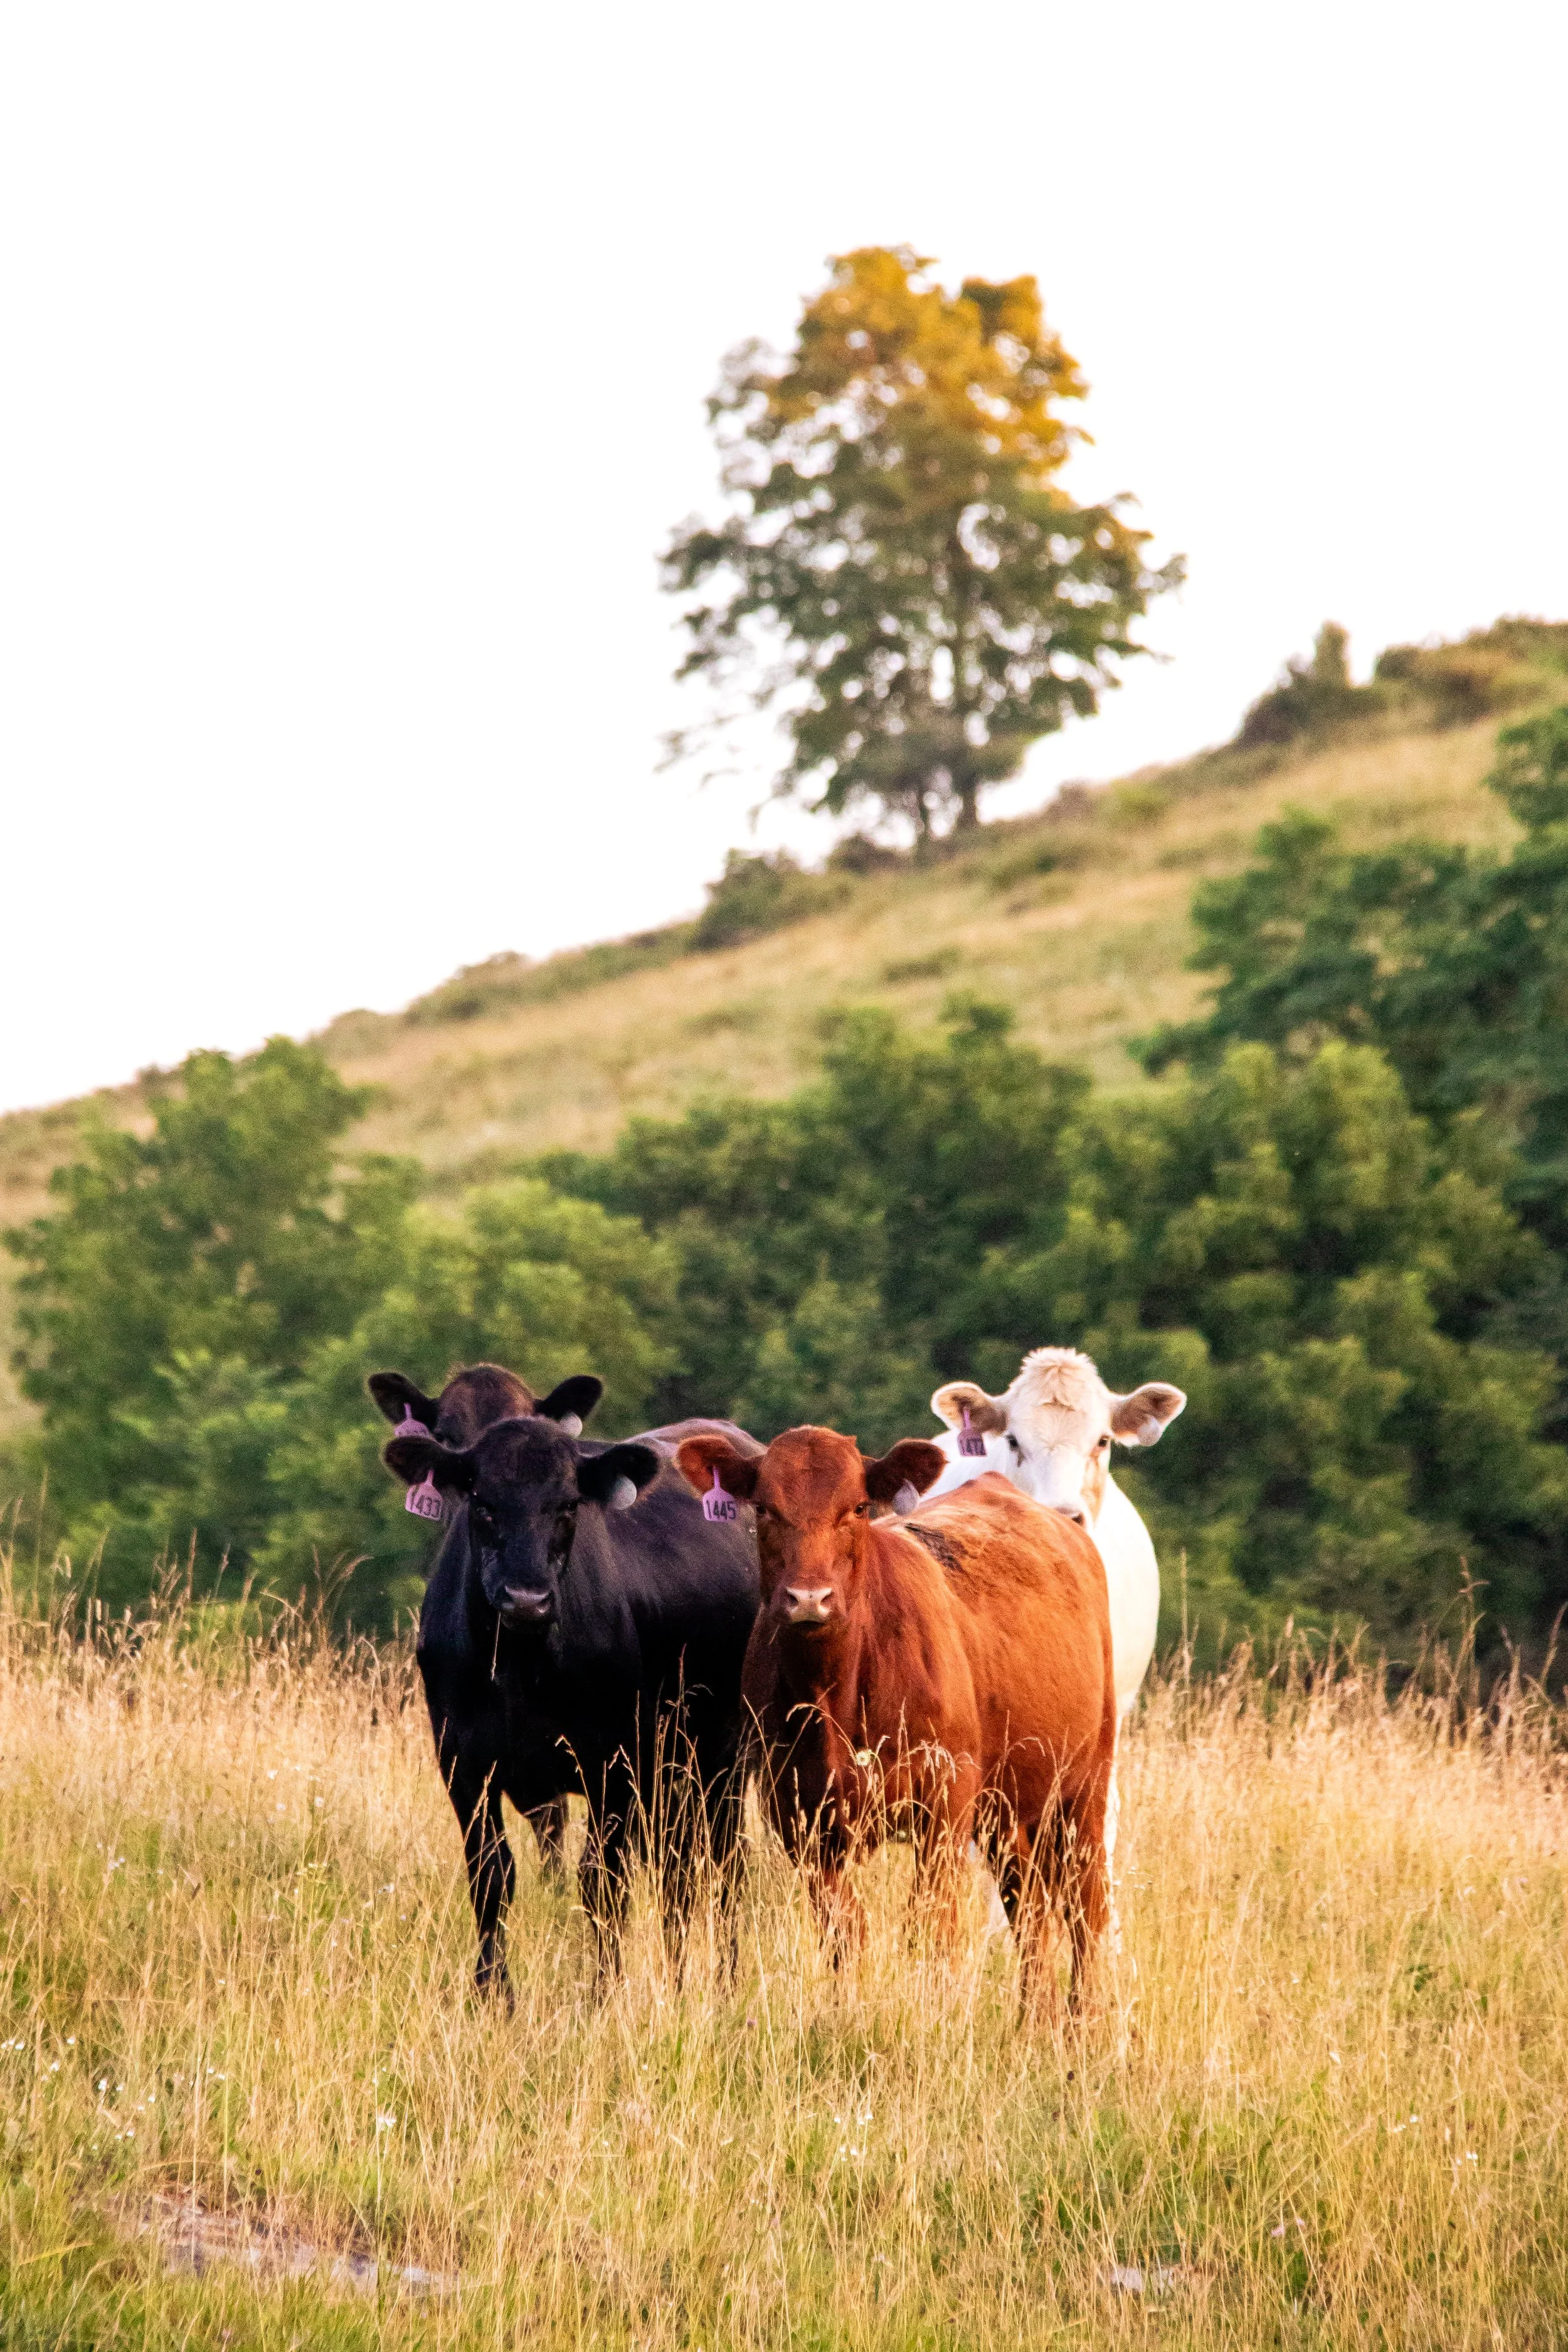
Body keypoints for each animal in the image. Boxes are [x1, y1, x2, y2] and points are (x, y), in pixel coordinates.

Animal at [383, 1405, 759, 1996]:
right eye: (482, 1503)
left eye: (566, 1505)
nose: (526, 1599)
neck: (520, 1667)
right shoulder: (462, 1763)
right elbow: (492, 1876)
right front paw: (493, 1995)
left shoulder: (612, 1760)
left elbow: (602, 1882)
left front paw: (603, 1993)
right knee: (677, 1871)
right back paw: (679, 1979)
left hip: (723, 1754)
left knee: (723, 1865)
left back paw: (725, 1981)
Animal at [675, 1426, 1117, 2015]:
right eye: (764, 1509)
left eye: (859, 1508)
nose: (809, 1598)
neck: (835, 1694)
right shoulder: (799, 1817)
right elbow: (845, 1929)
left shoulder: (945, 1801)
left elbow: (931, 1928)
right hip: (1006, 1806)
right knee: (1029, 1910)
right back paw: (1033, 2020)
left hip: (1084, 1785)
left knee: (1086, 1908)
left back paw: (1082, 2020)